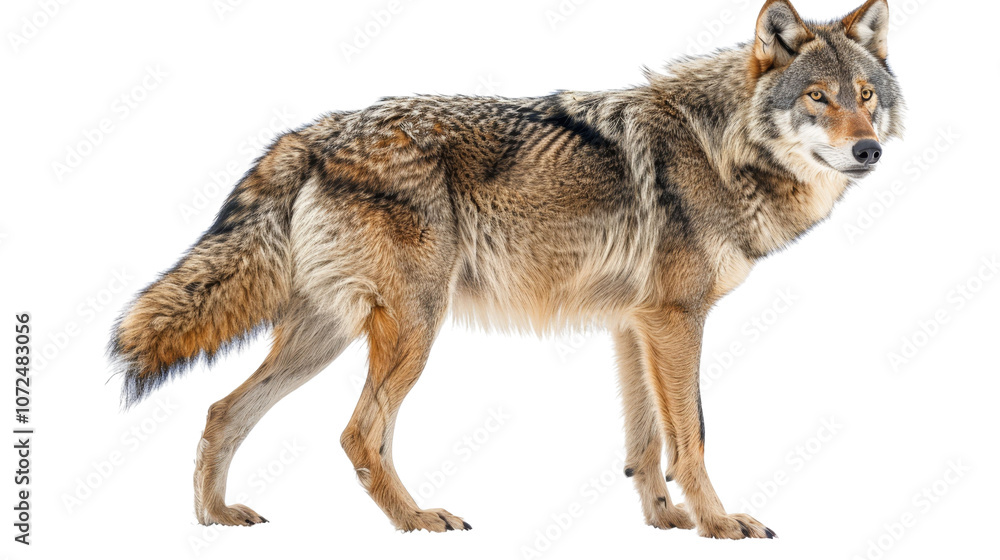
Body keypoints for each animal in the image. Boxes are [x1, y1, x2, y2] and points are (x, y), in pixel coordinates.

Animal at [109, 0, 903, 539]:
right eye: (818, 97)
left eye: (866, 97)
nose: (869, 150)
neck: (721, 148)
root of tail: (315, 133)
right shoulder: (677, 321)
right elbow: (694, 436)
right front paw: (719, 524)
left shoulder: (635, 326)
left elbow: (646, 443)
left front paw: (664, 521)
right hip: (413, 330)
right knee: (358, 434)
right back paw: (417, 520)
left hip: (326, 337)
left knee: (222, 411)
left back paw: (214, 517)